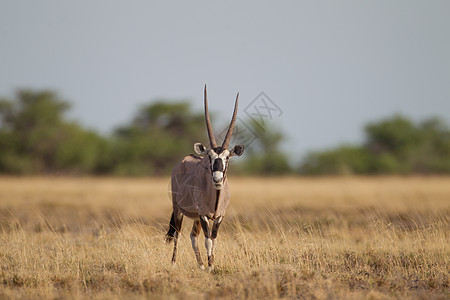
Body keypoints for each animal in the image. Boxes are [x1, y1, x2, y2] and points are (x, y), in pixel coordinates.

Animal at [165, 84, 244, 270]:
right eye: (209, 156)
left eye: (227, 157)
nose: (217, 179)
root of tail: (183, 160)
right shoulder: (204, 215)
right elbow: (208, 241)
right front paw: (210, 267)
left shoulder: (218, 216)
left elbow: (213, 240)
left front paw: (210, 264)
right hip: (178, 209)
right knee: (178, 234)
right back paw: (173, 262)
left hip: (195, 217)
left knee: (193, 236)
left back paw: (200, 264)